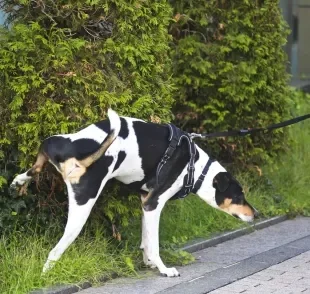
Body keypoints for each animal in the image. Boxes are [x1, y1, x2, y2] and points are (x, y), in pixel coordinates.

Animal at [10, 109, 256, 276]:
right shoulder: (153, 205)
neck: (194, 167)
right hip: (82, 207)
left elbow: (146, 241)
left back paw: (19, 180)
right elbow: (153, 244)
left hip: (52, 143)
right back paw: (45, 274)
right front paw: (163, 269)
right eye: (239, 196)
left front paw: (149, 263)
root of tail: (74, 152)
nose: (257, 214)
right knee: (55, 251)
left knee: (37, 164)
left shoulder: (145, 202)